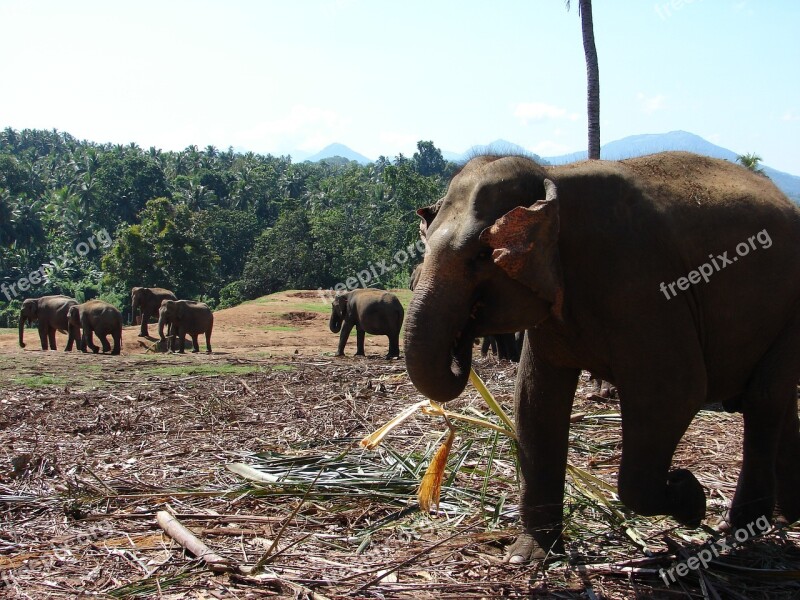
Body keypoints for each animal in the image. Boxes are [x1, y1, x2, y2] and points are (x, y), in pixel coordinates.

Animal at [406, 154, 800, 564]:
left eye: (483, 255)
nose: (463, 339)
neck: (553, 177)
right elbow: (535, 401)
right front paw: (528, 556)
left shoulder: (643, 284)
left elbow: (676, 393)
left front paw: (690, 496)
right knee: (777, 400)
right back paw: (782, 517)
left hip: (793, 308)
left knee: (763, 400)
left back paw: (738, 529)